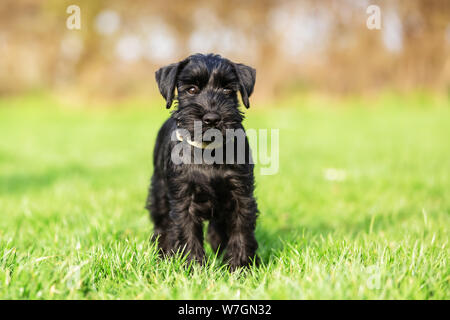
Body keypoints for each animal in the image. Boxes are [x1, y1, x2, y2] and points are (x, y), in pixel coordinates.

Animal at [147, 53, 258, 270]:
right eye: (191, 89)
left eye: (227, 89)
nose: (212, 118)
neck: (209, 153)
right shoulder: (184, 199)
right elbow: (187, 234)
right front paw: (194, 269)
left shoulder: (241, 194)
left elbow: (241, 231)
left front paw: (240, 268)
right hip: (159, 194)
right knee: (162, 227)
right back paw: (162, 255)